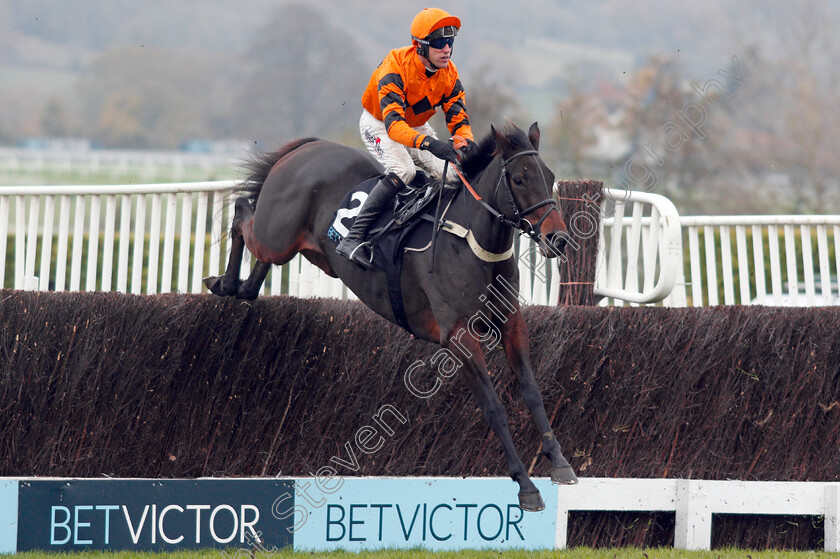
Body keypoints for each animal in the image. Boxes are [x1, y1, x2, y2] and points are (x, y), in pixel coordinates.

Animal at [207, 122, 580, 512]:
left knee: (254, 276)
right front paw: (526, 484)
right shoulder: (458, 337)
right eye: (520, 179)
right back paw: (223, 281)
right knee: (242, 213)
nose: (558, 238)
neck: (471, 240)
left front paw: (560, 463)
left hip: (293, 247)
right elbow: (494, 408)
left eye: (550, 177)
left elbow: (532, 392)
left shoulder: (511, 322)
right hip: (276, 237)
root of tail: (307, 148)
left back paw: (238, 285)